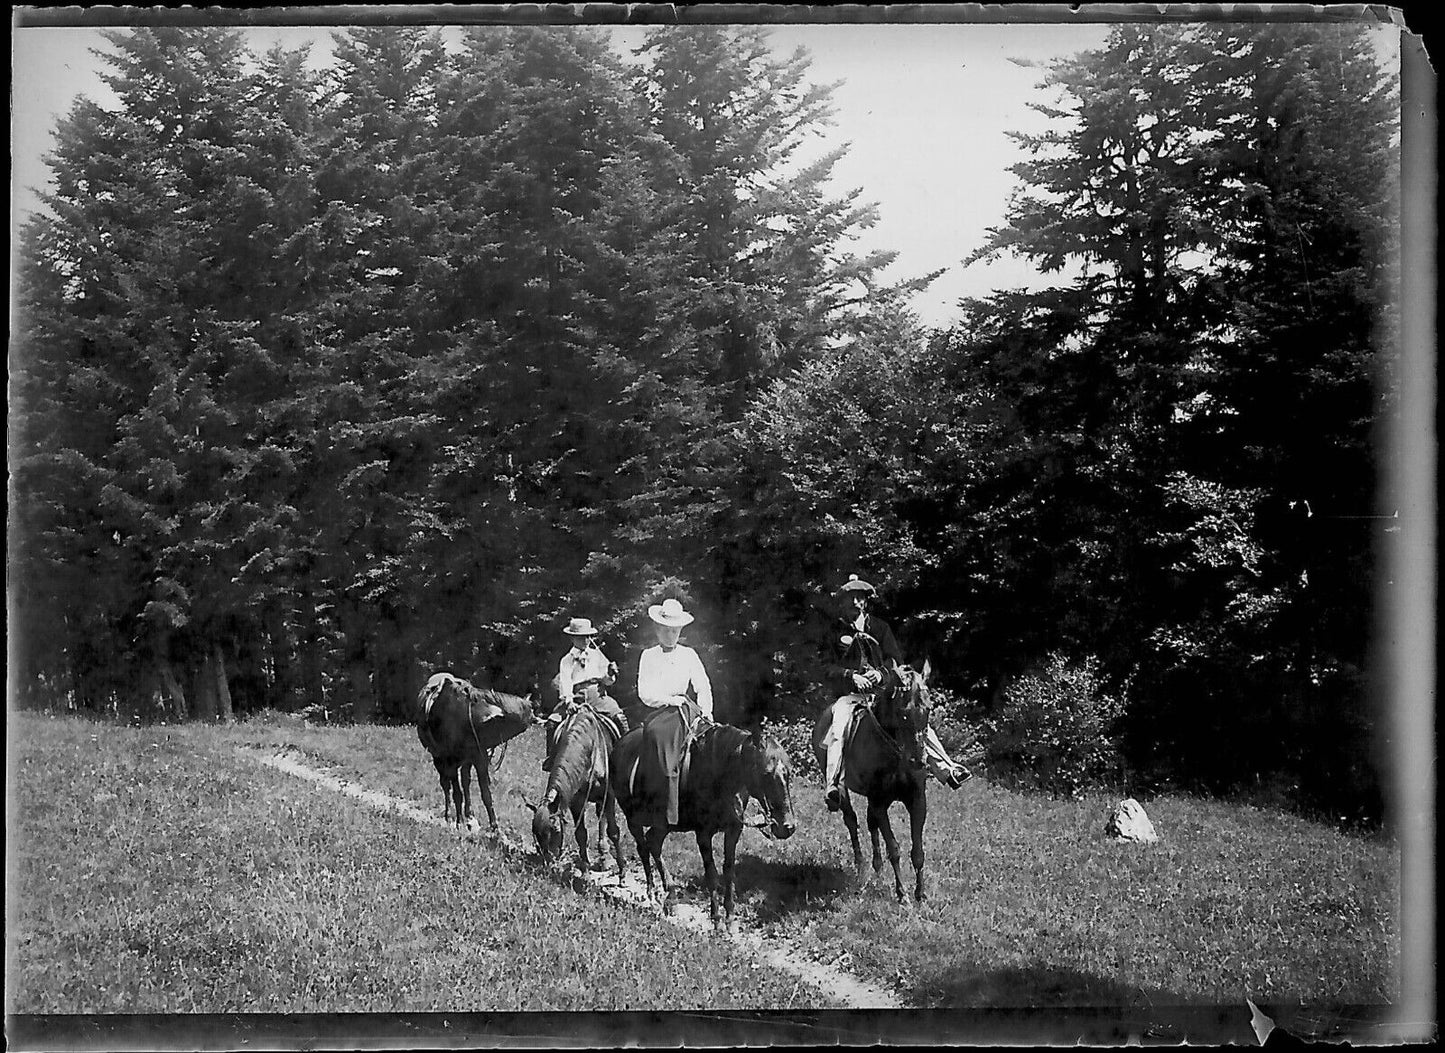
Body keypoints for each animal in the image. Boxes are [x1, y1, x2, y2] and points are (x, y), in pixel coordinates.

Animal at [419, 673, 537, 832]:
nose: (535, 718)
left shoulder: (479, 758)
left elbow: (485, 793)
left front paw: (494, 826)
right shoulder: (450, 761)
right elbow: (456, 793)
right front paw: (458, 822)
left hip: (464, 762)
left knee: (465, 782)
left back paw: (469, 815)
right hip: (439, 759)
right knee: (446, 785)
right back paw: (450, 816)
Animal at [528, 702, 624, 872]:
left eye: (555, 830)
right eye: (535, 833)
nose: (549, 862)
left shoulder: (609, 796)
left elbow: (613, 831)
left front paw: (622, 869)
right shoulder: (575, 800)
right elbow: (581, 834)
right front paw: (585, 868)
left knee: (603, 818)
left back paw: (606, 857)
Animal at [606, 713, 797, 930]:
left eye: (788, 772)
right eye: (765, 773)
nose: (787, 826)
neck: (718, 775)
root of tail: (619, 745)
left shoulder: (734, 830)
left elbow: (729, 870)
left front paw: (730, 916)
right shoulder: (703, 833)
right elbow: (711, 873)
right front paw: (716, 919)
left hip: (664, 824)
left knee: (653, 843)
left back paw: (671, 895)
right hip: (633, 819)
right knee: (643, 847)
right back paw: (653, 893)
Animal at [814, 661, 936, 901]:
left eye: (928, 709)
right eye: (902, 713)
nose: (918, 761)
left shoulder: (917, 801)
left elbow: (917, 851)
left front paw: (920, 894)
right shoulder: (879, 802)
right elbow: (894, 848)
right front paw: (902, 894)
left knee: (871, 824)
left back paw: (877, 868)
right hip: (843, 789)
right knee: (852, 821)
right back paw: (861, 868)